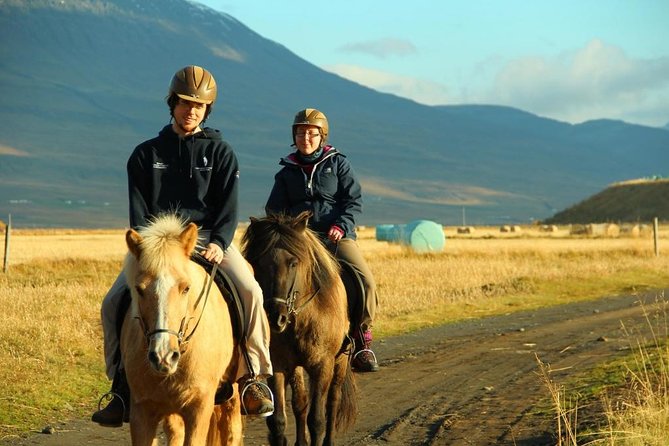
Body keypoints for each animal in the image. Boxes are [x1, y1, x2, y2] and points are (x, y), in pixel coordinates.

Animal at [120, 214, 243, 444]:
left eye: (186, 288)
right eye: (139, 289)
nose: (163, 356)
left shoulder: (199, 408)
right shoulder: (142, 411)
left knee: (232, 428)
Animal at [241, 212, 358, 446]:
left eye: (293, 263)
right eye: (258, 263)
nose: (275, 317)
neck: (302, 319)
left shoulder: (322, 365)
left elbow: (317, 420)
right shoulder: (279, 365)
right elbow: (278, 420)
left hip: (341, 360)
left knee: (332, 401)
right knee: (300, 403)